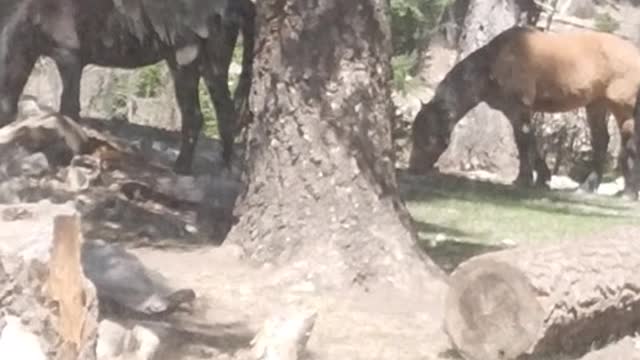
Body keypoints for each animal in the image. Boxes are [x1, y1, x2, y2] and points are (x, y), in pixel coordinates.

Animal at [0, 0, 255, 173]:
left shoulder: (69, 57)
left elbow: (69, 109)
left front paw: (69, 153)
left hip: (194, 62)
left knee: (204, 114)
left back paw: (194, 168)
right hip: (202, 64)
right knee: (216, 113)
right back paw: (212, 168)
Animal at [408, 25, 640, 200]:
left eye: (427, 136)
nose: (413, 169)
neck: (494, 63)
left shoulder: (520, 107)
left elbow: (524, 141)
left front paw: (526, 179)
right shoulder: (512, 111)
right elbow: (527, 141)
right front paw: (539, 178)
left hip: (622, 108)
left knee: (629, 143)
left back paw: (628, 193)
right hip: (596, 104)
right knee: (601, 141)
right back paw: (587, 187)